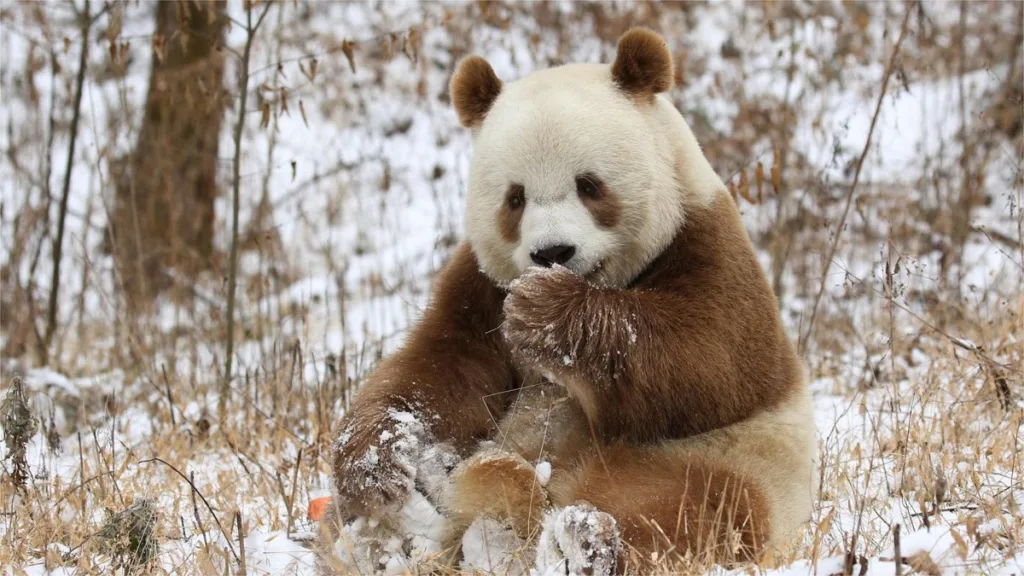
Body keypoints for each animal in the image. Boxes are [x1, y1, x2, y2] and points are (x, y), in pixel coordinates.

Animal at [320, 28, 818, 575]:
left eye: (589, 185)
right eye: (515, 198)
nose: (552, 252)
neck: (604, 282)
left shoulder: (707, 241)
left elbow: (713, 359)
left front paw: (543, 310)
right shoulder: (479, 286)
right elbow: (441, 370)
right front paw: (381, 463)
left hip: (724, 460)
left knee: (691, 507)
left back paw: (580, 541)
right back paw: (405, 532)